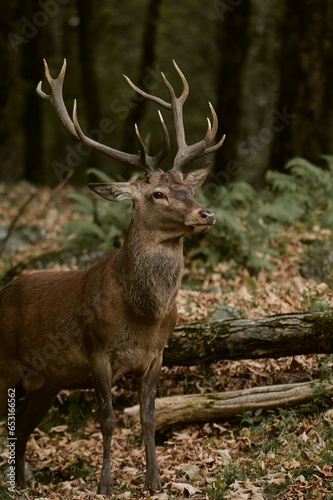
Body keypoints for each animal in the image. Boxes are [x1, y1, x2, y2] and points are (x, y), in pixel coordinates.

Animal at [0, 59, 224, 496]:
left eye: (188, 188)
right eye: (158, 194)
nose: (205, 213)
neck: (144, 315)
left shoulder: (157, 354)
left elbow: (149, 419)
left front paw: (154, 481)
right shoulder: (97, 351)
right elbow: (107, 420)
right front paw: (105, 485)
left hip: (43, 381)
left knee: (21, 431)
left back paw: (20, 485)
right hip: (4, 365)